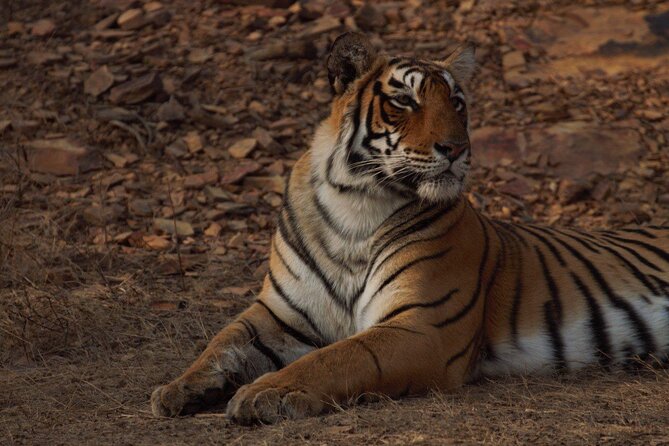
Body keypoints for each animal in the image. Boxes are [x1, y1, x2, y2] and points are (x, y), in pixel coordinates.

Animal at [151, 32, 669, 424]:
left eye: (457, 103)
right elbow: (224, 341)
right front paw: (178, 388)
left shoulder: (421, 325)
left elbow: (338, 357)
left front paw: (266, 393)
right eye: (405, 100)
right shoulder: (281, 313)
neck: (355, 207)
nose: (457, 149)